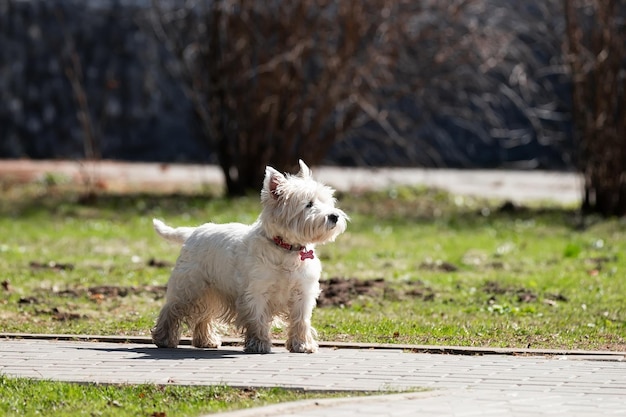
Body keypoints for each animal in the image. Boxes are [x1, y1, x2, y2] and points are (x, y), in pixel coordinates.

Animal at [151, 159, 346, 352]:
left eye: (326, 201)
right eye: (309, 204)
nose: (334, 216)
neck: (286, 248)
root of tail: (192, 232)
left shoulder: (302, 292)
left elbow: (301, 320)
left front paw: (303, 345)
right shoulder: (256, 291)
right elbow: (257, 319)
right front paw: (259, 344)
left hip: (211, 291)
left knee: (204, 315)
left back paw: (206, 340)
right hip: (190, 287)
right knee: (172, 310)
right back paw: (164, 339)